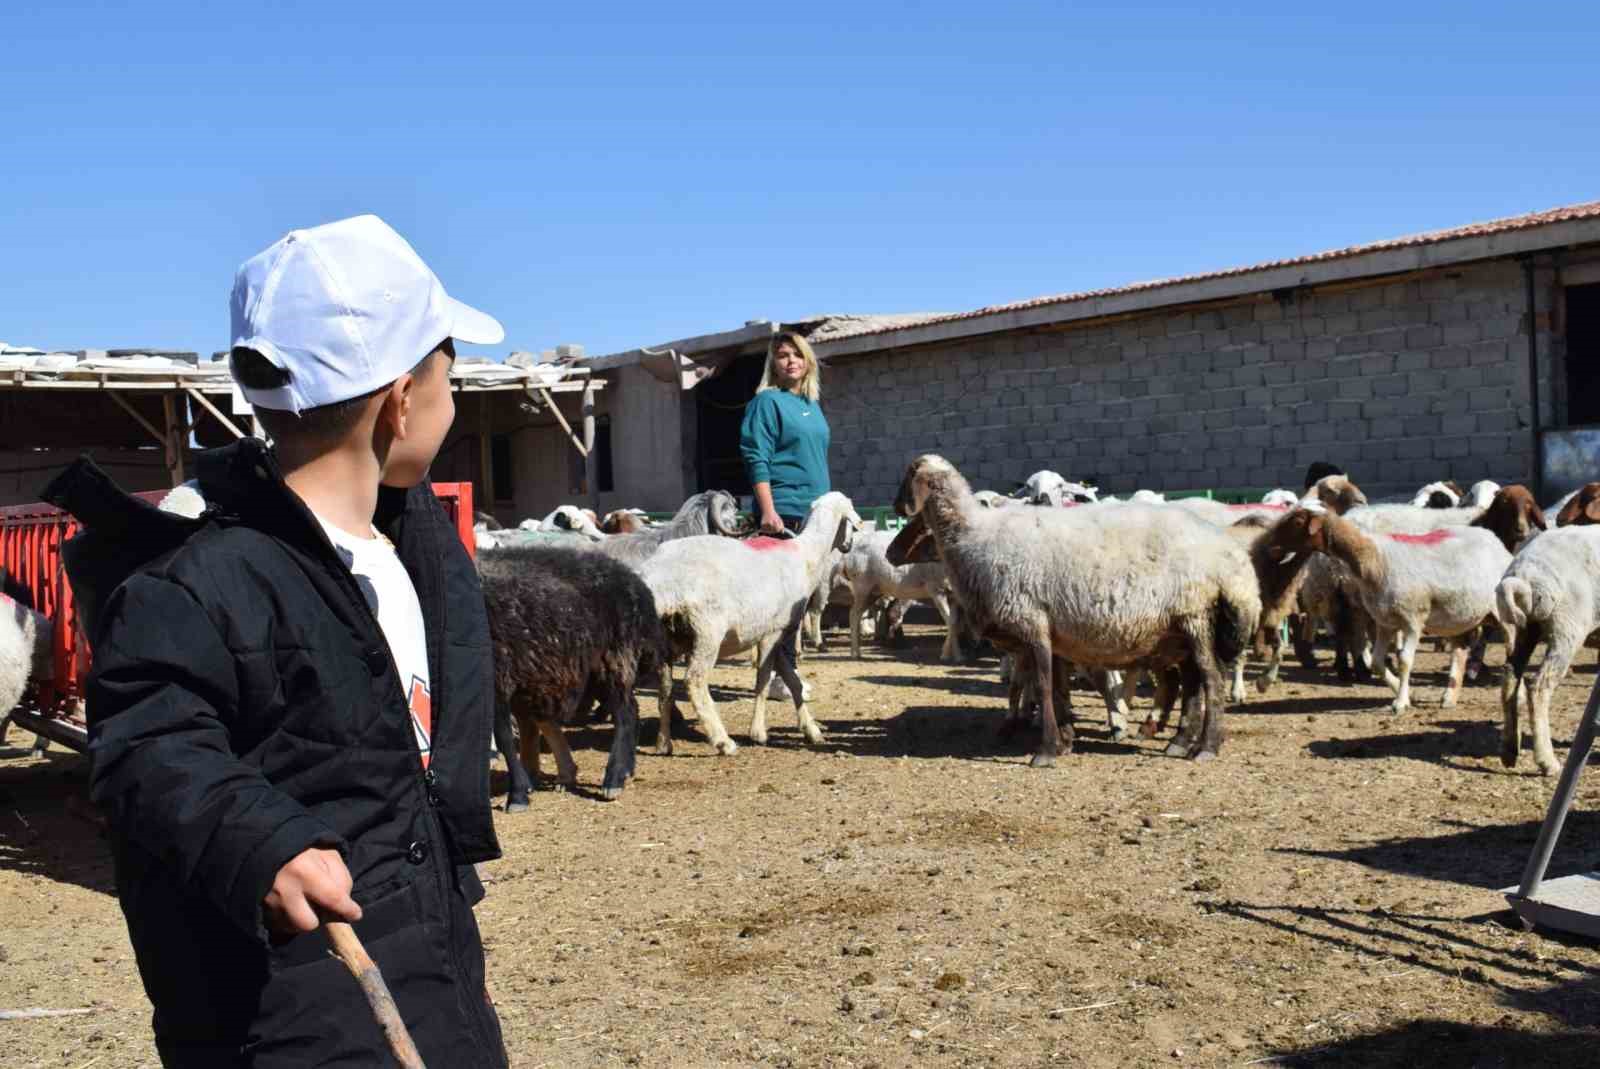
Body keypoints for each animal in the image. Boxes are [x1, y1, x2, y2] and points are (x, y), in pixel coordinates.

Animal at [480, 537, 668, 806]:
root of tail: (634, 581)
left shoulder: (497, 676)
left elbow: (503, 735)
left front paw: (517, 794)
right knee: (632, 709)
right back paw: (623, 770)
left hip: (614, 658)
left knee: (625, 712)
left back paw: (613, 780)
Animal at [636, 489, 864, 755]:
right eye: (852, 526)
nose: (848, 546)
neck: (807, 556)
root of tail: (659, 581)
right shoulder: (771, 634)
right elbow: (762, 682)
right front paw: (758, 733)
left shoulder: (778, 632)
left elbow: (793, 681)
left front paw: (812, 730)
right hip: (707, 632)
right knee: (694, 681)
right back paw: (723, 741)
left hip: (665, 640)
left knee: (665, 688)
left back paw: (663, 743)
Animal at [889, 454, 1260, 764]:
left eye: (908, 476)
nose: (894, 506)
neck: (972, 536)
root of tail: (1235, 562)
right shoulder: (1050, 635)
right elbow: (1056, 688)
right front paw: (1064, 741)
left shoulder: (1032, 623)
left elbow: (1042, 686)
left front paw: (1046, 751)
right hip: (1182, 631)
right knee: (1193, 682)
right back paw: (1181, 742)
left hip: (1195, 615)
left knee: (1212, 681)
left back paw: (1206, 747)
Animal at [1491, 524, 1600, 777]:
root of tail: (1524, 573)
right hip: (1567, 627)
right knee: (1539, 686)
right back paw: (1547, 762)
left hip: (1525, 628)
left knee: (1510, 675)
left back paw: (1509, 749)